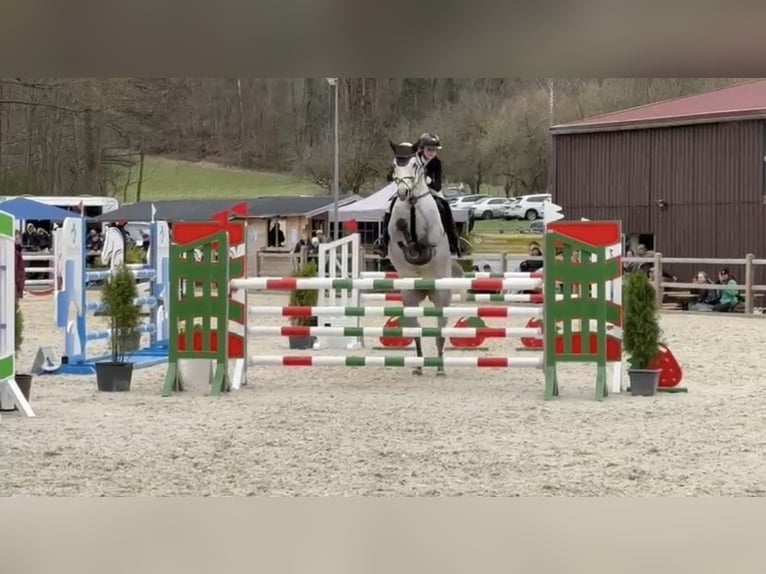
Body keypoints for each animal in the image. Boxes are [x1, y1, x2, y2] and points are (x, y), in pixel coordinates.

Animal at [385, 140, 465, 377]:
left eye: (414, 165)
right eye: (394, 166)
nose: (403, 192)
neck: (412, 203)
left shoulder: (432, 236)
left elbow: (425, 244)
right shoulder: (395, 233)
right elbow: (401, 235)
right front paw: (405, 232)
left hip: (441, 295)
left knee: (440, 330)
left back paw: (439, 368)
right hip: (410, 296)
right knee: (416, 329)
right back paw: (419, 366)